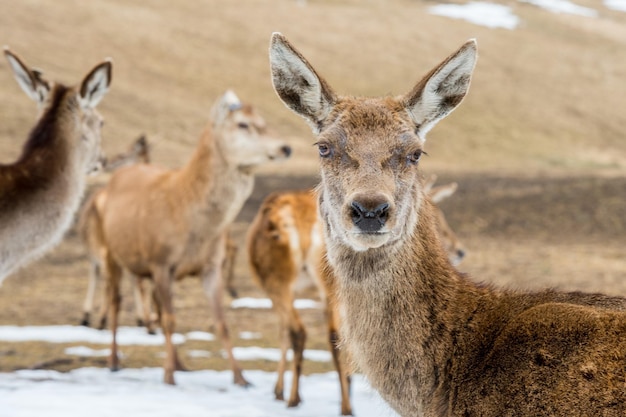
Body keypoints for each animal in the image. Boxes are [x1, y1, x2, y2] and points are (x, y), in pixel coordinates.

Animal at [94, 89, 292, 386]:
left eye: (263, 120)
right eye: (243, 124)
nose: (285, 147)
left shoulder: (211, 266)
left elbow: (221, 323)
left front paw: (241, 377)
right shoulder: (161, 262)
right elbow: (169, 319)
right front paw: (167, 376)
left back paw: (180, 364)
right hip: (110, 251)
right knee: (116, 300)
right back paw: (114, 360)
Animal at [244, 175, 464, 412]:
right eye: (436, 217)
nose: (460, 250)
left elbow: (283, 331)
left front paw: (278, 391)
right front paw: (278, 390)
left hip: (295, 282)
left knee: (318, 333)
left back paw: (317, 400)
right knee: (315, 333)